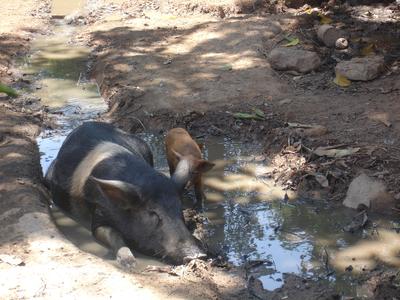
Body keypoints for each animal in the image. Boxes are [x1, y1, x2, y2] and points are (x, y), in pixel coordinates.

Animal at [46, 122, 206, 268]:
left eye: (180, 209)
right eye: (153, 213)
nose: (198, 255)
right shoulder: (98, 215)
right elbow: (112, 235)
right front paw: (130, 263)